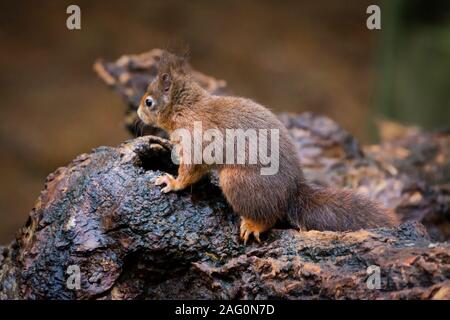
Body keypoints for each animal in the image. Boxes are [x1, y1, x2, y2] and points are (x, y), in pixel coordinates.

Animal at [136, 52, 398, 242]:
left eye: (149, 102)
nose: (138, 112)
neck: (187, 108)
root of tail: (290, 193)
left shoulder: (195, 139)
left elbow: (189, 171)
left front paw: (172, 182)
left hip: (236, 181)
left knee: (269, 218)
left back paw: (253, 226)